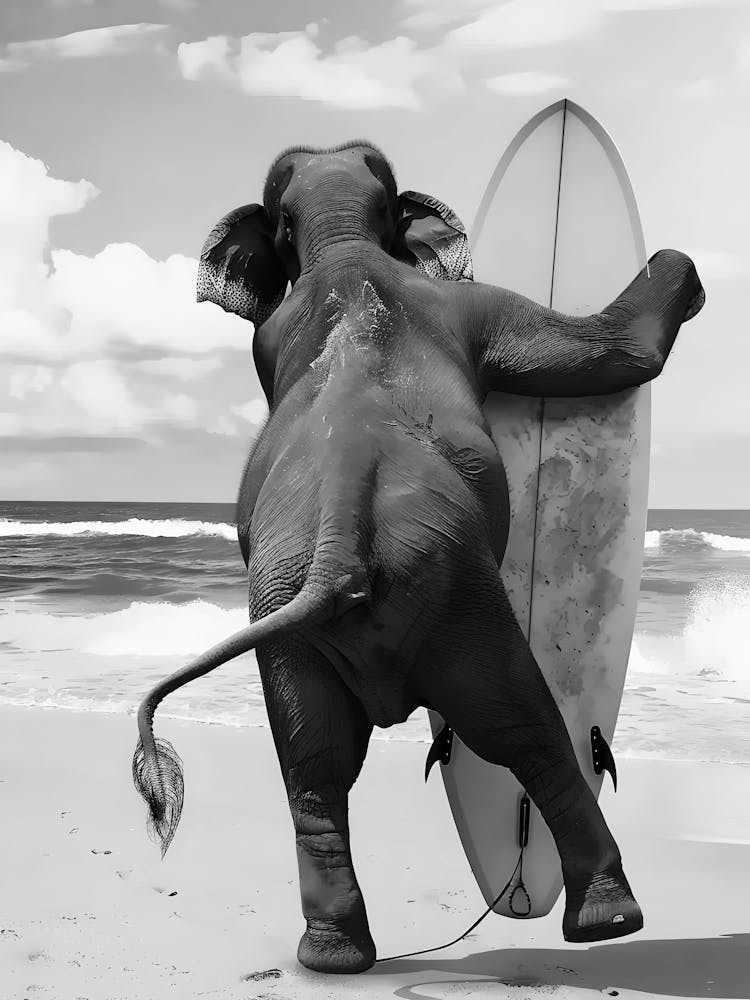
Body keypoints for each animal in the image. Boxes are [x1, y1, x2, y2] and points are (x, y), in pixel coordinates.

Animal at [132, 140, 704, 974]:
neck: (342, 247)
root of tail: (339, 541)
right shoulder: (470, 307)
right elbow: (599, 352)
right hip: (461, 593)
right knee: (523, 727)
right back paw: (609, 919)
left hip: (289, 613)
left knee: (314, 766)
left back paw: (333, 958)